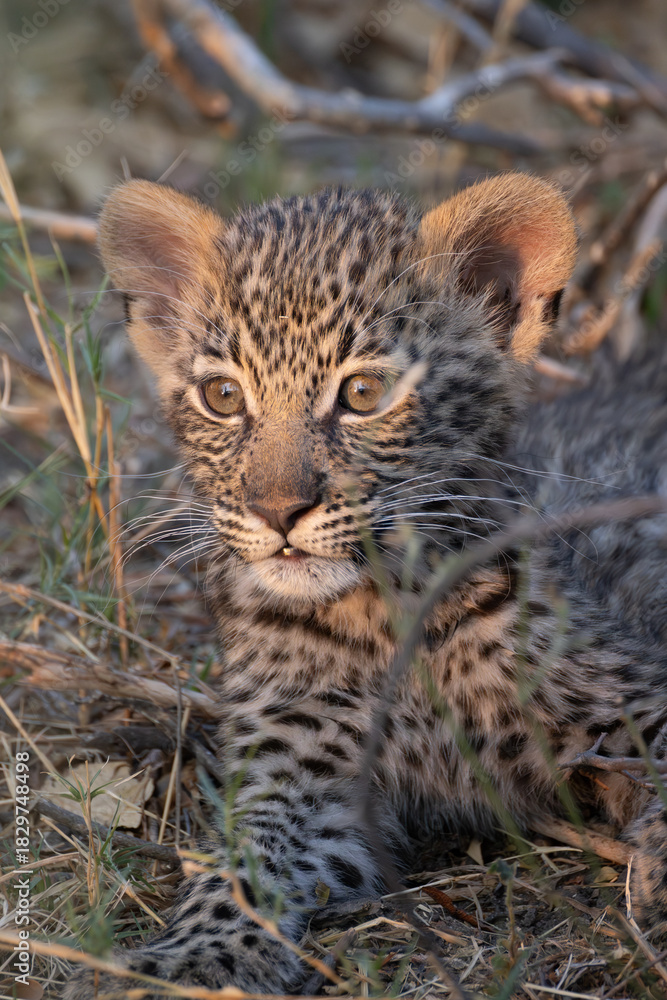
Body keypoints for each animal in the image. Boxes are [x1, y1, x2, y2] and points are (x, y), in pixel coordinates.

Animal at [64, 172, 667, 998]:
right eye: (223, 397)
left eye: (362, 395)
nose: (277, 511)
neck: (382, 614)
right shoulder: (298, 773)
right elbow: (238, 861)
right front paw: (192, 957)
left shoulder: (634, 696)